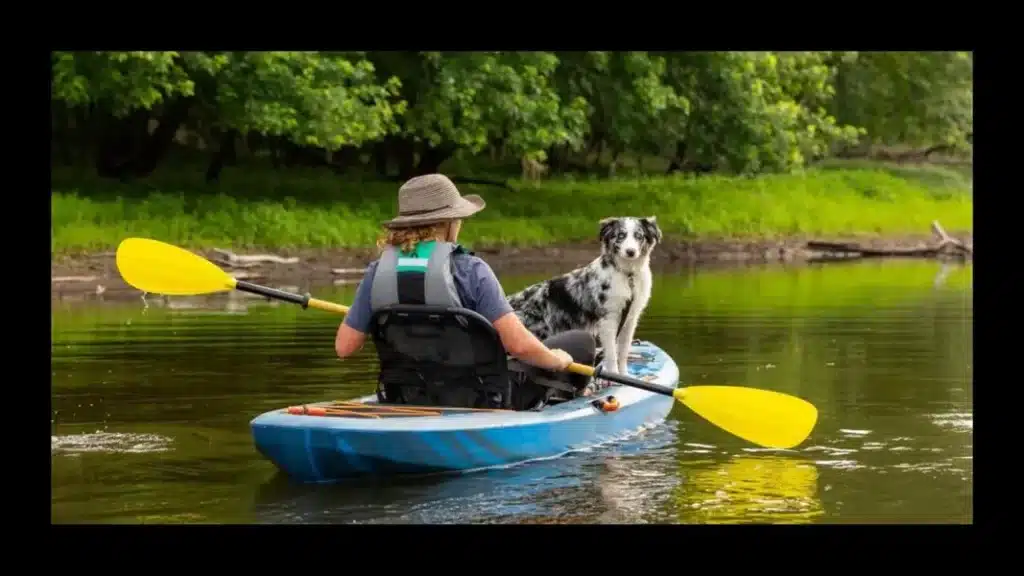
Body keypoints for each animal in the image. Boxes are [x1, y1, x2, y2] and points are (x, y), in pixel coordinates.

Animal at [505, 215, 663, 377]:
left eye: (639, 236)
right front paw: (613, 374)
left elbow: (623, 352)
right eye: (620, 235)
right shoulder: (608, 319)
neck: (628, 275)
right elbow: (612, 354)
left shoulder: (630, 319)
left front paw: (624, 375)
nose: (630, 251)